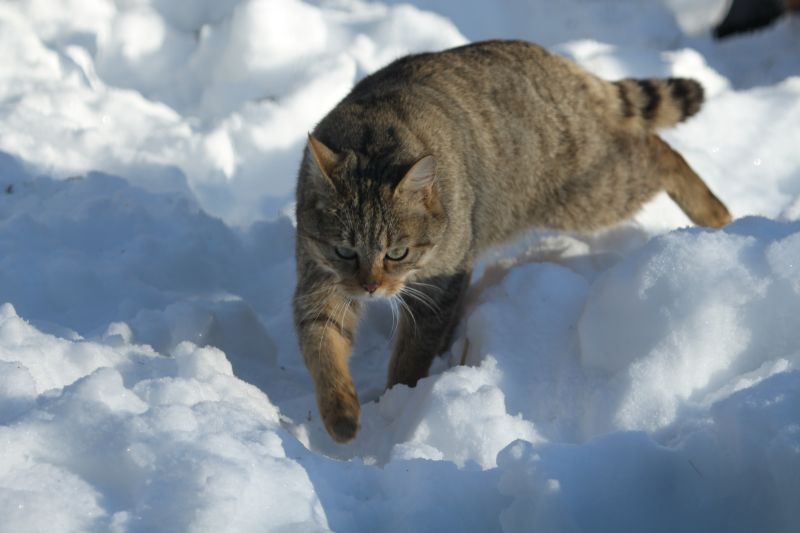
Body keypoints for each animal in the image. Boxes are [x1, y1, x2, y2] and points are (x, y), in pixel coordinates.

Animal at [294, 39, 732, 442]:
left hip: (592, 192)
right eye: (345, 251)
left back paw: (715, 213)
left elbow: (412, 354)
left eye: (396, 253)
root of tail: (555, 62)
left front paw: (398, 403)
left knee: (658, 151)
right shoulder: (318, 278)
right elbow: (323, 345)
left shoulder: (439, 283)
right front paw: (341, 413)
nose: (370, 287)